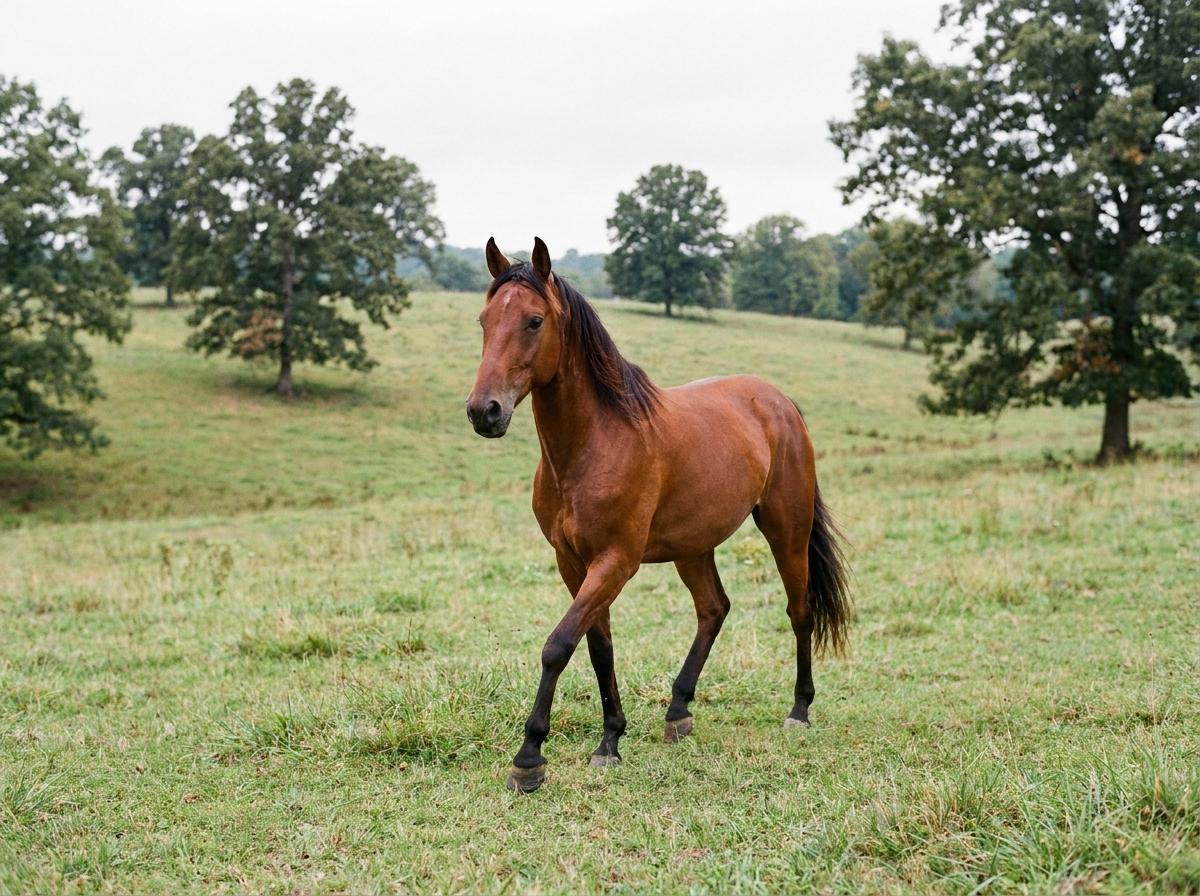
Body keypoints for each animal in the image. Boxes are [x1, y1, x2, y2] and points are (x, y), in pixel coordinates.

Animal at [466, 237, 850, 793]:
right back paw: (678, 711)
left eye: (534, 321)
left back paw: (799, 710)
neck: (595, 443)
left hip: (786, 529)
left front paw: (530, 757)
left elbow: (558, 645)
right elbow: (597, 646)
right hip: (694, 547)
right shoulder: (573, 563)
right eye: (484, 320)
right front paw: (610, 740)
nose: (484, 411)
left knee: (799, 611)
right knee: (713, 609)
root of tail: (778, 401)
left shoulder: (616, 561)